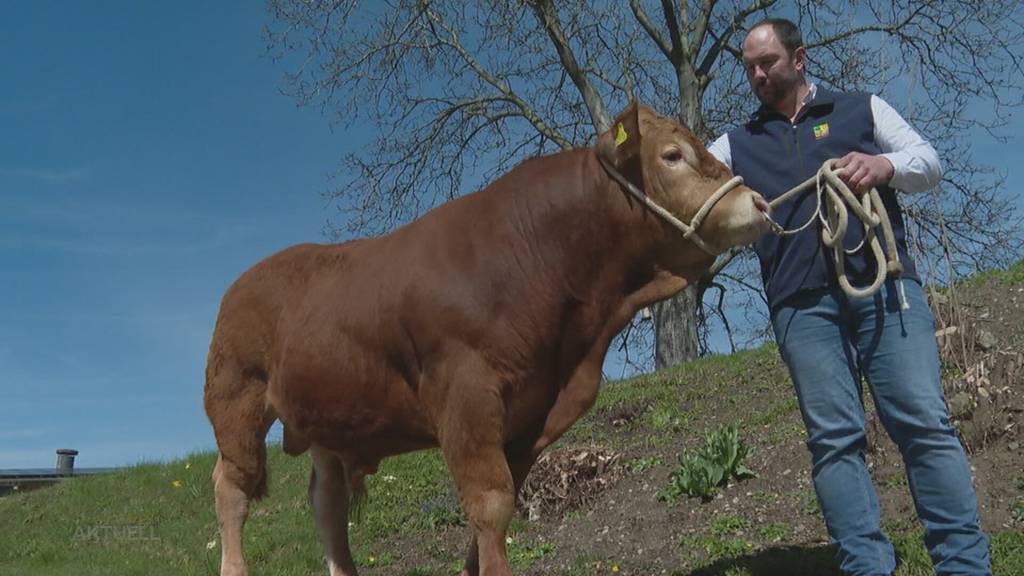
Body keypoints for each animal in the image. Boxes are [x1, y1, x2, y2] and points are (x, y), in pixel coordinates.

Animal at [205, 103, 770, 573]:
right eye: (672, 155)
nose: (758, 202)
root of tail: (249, 277)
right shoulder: (466, 397)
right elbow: (489, 504)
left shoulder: (531, 413)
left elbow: (503, 500)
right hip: (236, 402)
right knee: (231, 489)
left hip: (327, 417)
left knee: (327, 505)